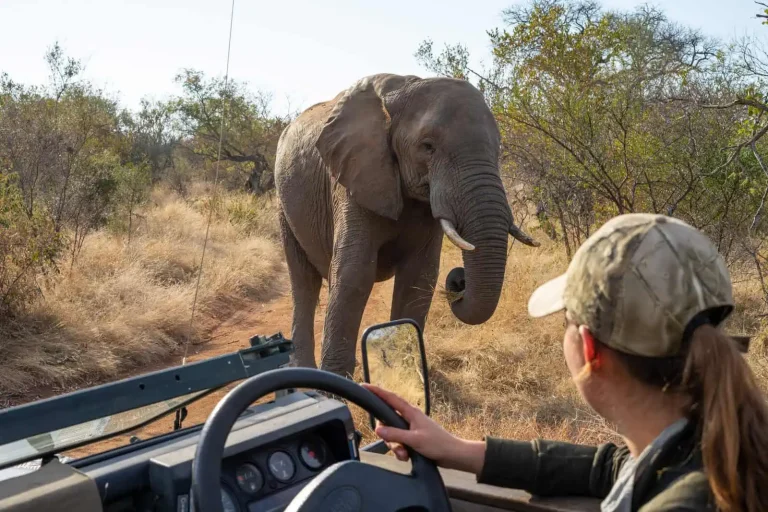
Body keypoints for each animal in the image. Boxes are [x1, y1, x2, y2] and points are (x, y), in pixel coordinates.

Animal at [274, 73, 539, 379]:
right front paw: (338, 379)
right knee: (303, 281)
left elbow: (419, 276)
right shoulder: (354, 178)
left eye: (498, 150)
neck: (401, 92)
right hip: (283, 203)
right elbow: (353, 272)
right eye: (427, 146)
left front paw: (411, 369)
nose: (459, 280)